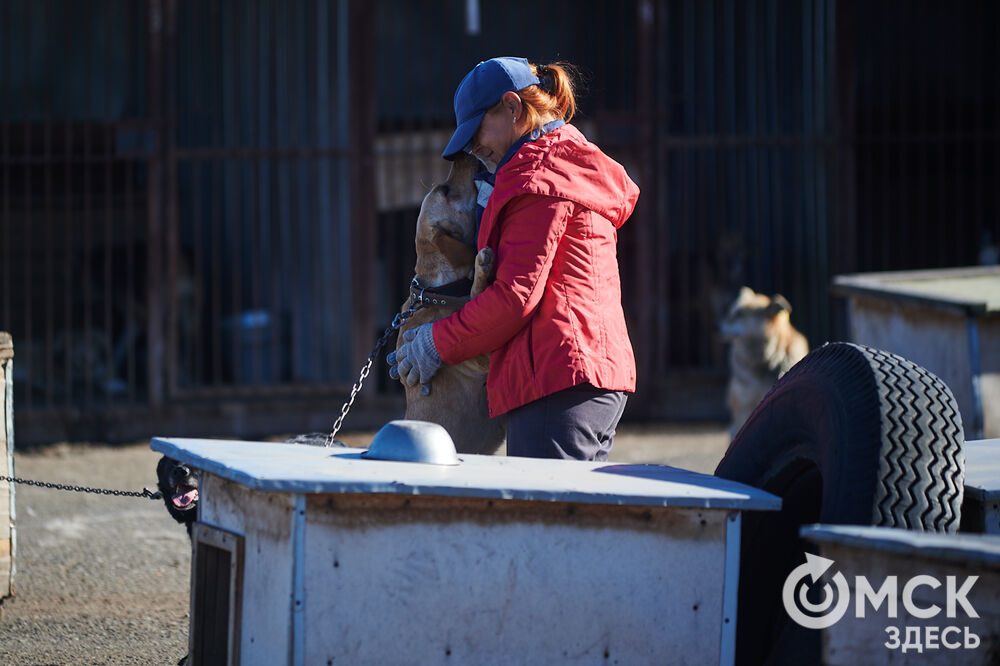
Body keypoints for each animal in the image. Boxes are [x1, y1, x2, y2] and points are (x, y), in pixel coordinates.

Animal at [392, 151, 508, 454]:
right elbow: (478, 291)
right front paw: (481, 266)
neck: (438, 289)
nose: (465, 154)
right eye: (445, 190)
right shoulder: (480, 357)